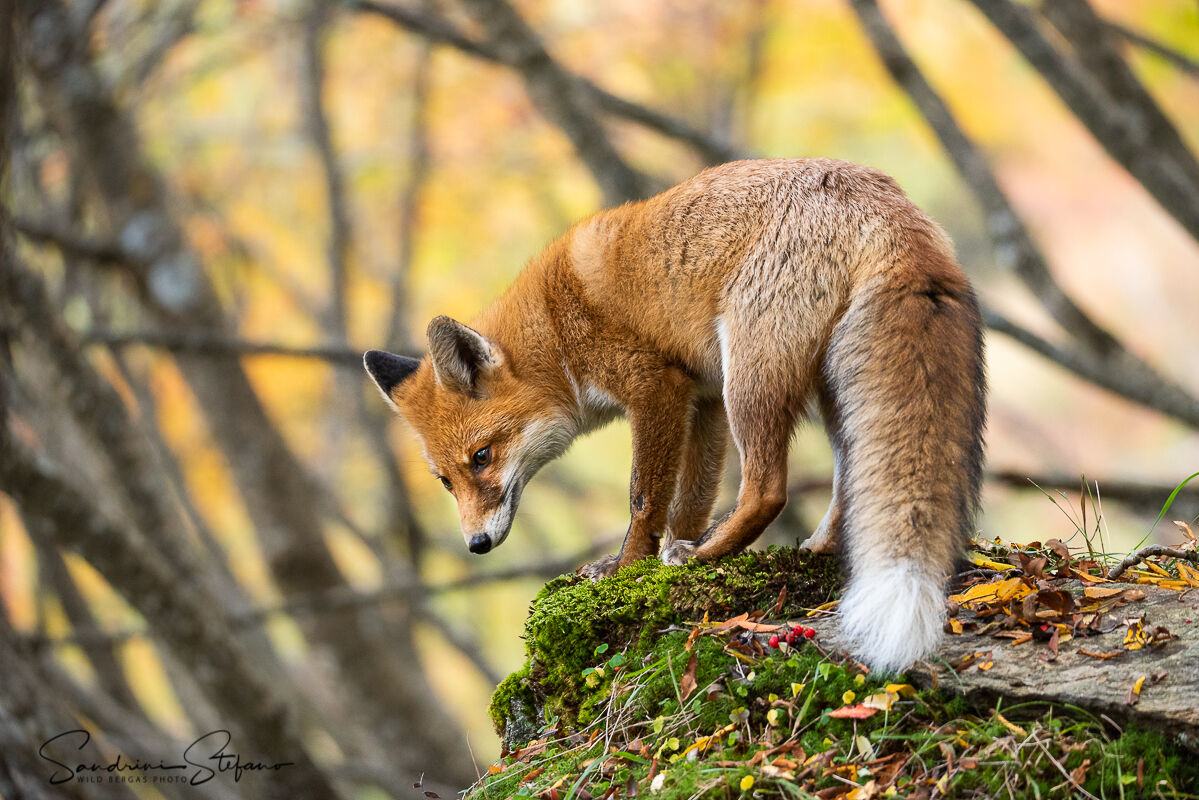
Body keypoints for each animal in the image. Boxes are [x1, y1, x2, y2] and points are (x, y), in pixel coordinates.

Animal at [364, 158, 986, 672]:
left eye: (482, 457)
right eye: (446, 481)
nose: (475, 545)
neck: (555, 328)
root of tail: (884, 199)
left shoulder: (655, 389)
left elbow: (643, 498)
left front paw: (626, 569)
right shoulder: (702, 401)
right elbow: (686, 501)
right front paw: (653, 572)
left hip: (751, 378)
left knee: (767, 489)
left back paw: (705, 555)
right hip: (823, 389)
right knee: (842, 482)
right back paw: (813, 548)